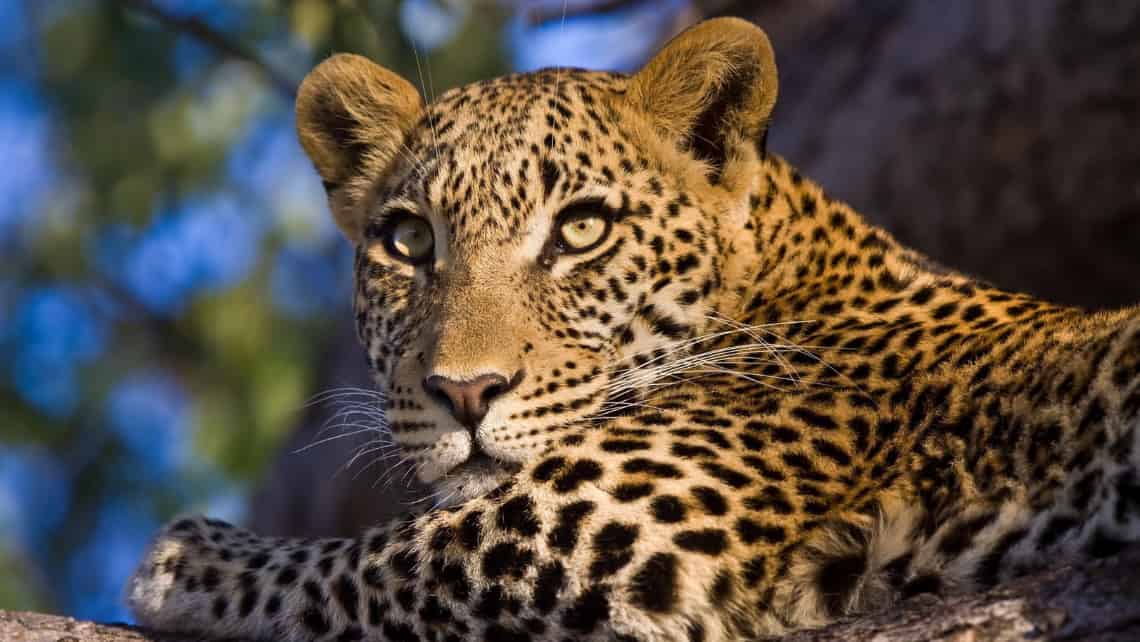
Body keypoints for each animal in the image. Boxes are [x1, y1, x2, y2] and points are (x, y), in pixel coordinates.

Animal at [124, 17, 1140, 638]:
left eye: (580, 229)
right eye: (408, 241)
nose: (464, 393)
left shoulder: (609, 527)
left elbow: (372, 560)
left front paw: (190, 561)